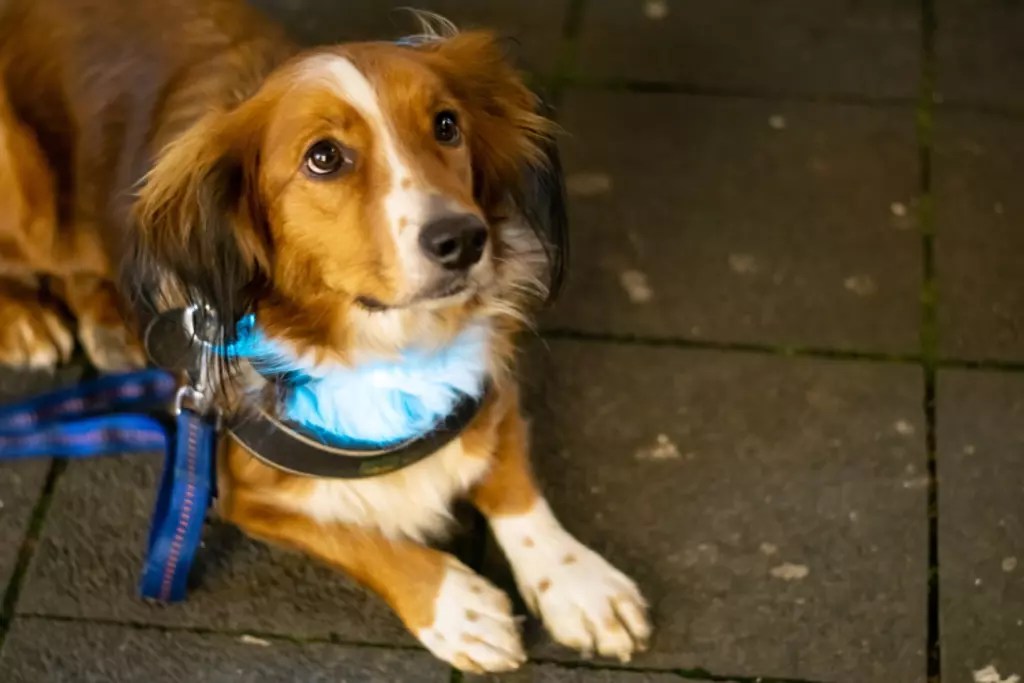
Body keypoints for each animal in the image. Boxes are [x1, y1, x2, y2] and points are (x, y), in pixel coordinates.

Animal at [0, 0, 651, 671]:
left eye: (446, 125)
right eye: (324, 157)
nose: (465, 239)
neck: (385, 345)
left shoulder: (484, 383)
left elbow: (515, 483)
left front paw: (578, 582)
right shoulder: (238, 488)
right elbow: (357, 537)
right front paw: (453, 604)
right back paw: (26, 321)